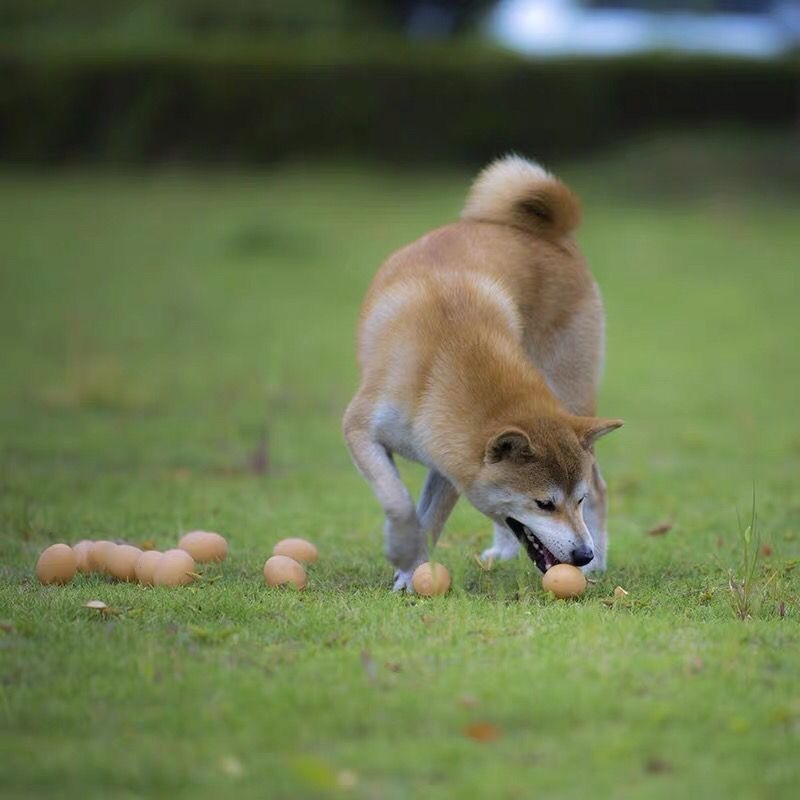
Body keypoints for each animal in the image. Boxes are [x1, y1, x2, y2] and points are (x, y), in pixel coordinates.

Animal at [340, 158, 620, 592]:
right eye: (544, 503)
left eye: (578, 501)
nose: (582, 554)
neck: (443, 354)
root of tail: (549, 232)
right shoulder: (363, 429)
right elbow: (399, 503)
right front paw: (404, 553)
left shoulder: (448, 465)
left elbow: (430, 519)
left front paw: (411, 572)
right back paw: (510, 553)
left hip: (571, 391)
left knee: (602, 488)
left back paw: (597, 568)